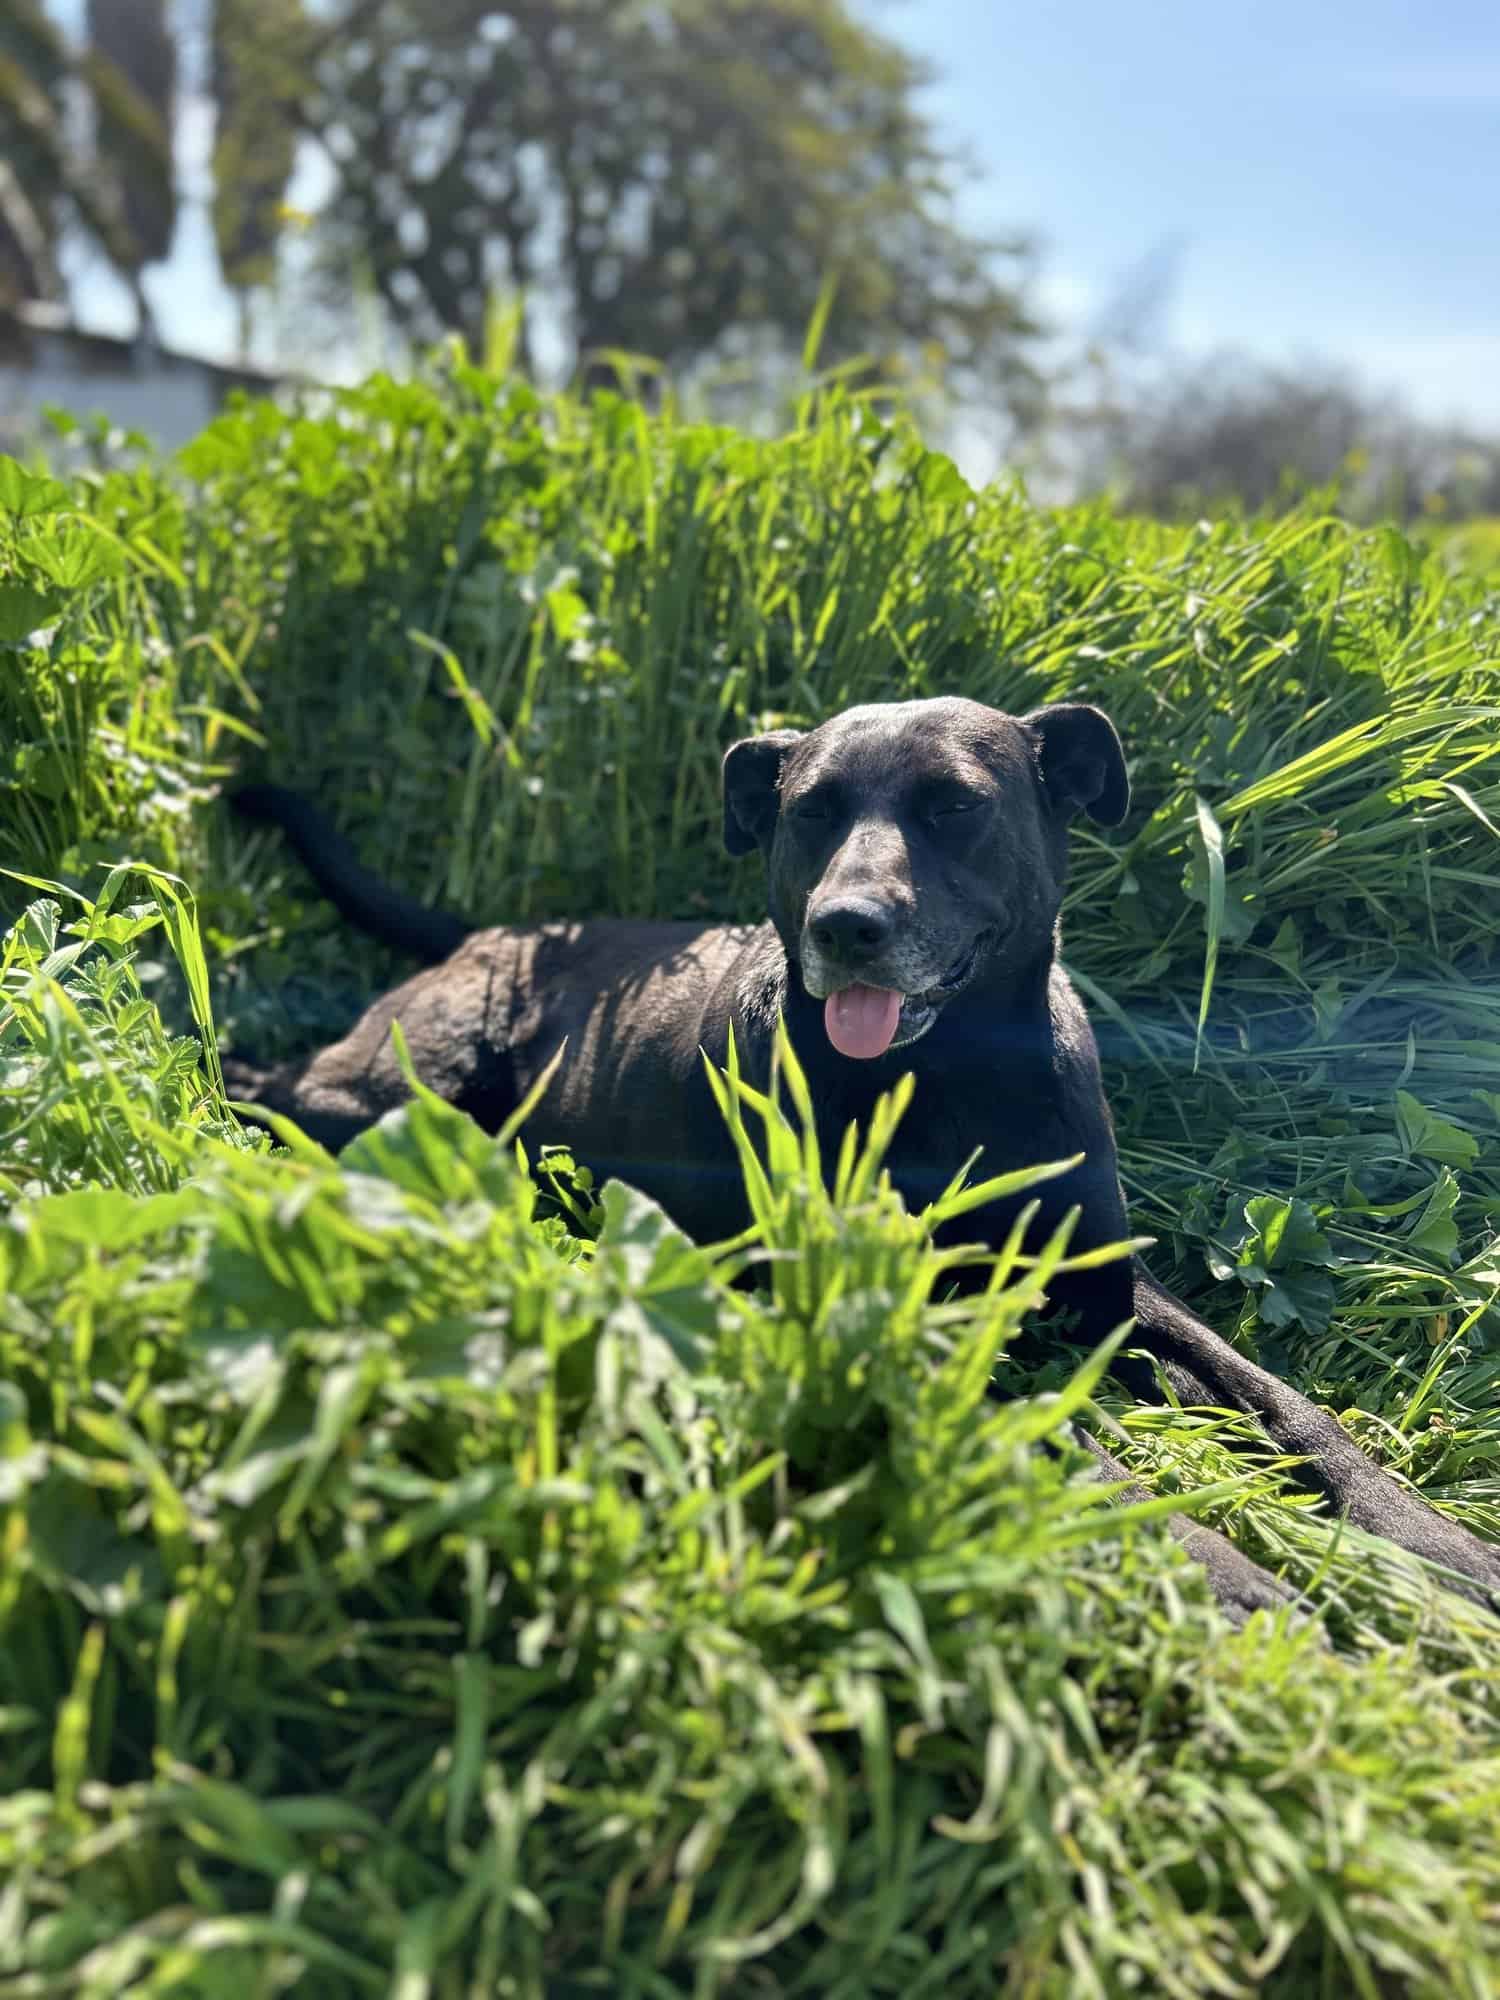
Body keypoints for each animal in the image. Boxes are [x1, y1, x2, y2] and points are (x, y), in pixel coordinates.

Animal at [229, 704, 1500, 1624]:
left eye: (954, 807)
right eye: (810, 812)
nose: (846, 926)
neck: (949, 1085)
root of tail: (503, 926)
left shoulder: (1109, 1281)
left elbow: (1286, 1404)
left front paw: (1430, 1542)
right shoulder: (892, 1315)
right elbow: (1066, 1438)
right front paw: (1232, 1570)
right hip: (411, 1086)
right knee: (290, 1086)